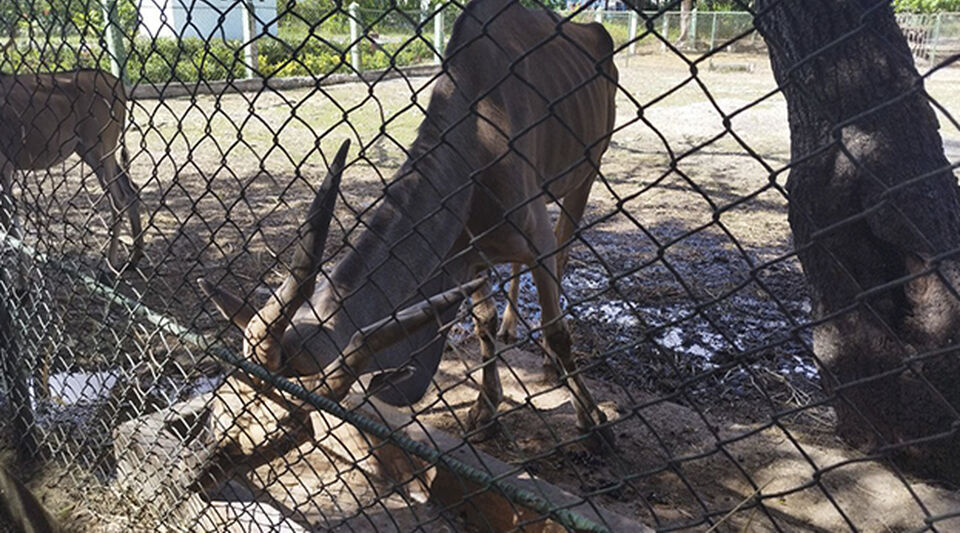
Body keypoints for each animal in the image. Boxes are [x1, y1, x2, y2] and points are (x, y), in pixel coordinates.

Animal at [0, 66, 142, 272]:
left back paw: (109, 265)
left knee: (118, 199)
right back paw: (134, 259)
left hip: (98, 150)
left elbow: (10, 226)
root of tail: (115, 82)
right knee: (132, 190)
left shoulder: (4, 168)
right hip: (91, 152)